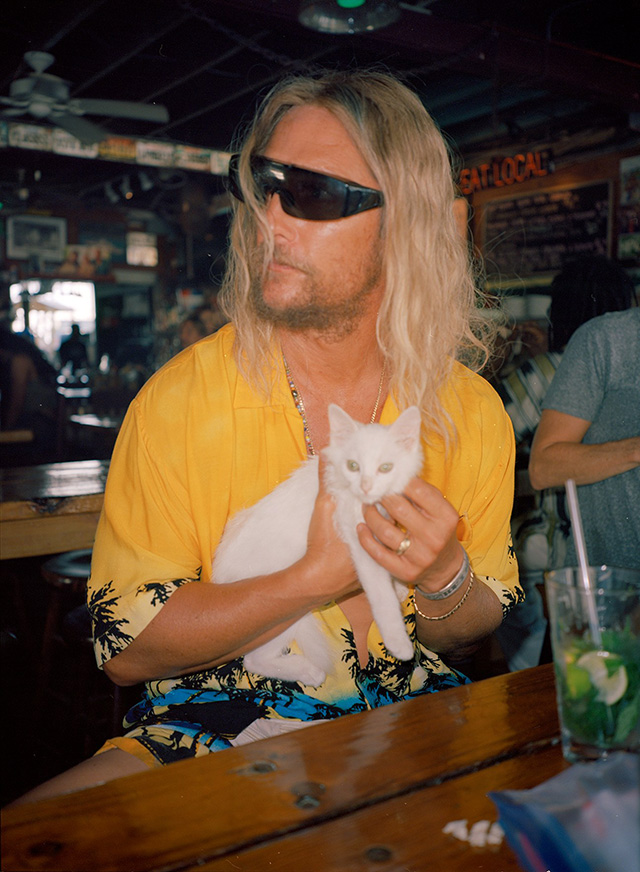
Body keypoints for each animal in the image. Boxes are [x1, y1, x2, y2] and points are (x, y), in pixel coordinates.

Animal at [214, 406, 424, 684]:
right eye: (353, 466)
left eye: (386, 467)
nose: (365, 487)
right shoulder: (357, 538)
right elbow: (380, 595)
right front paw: (399, 643)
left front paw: (398, 586)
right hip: (278, 610)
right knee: (252, 660)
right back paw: (309, 672)